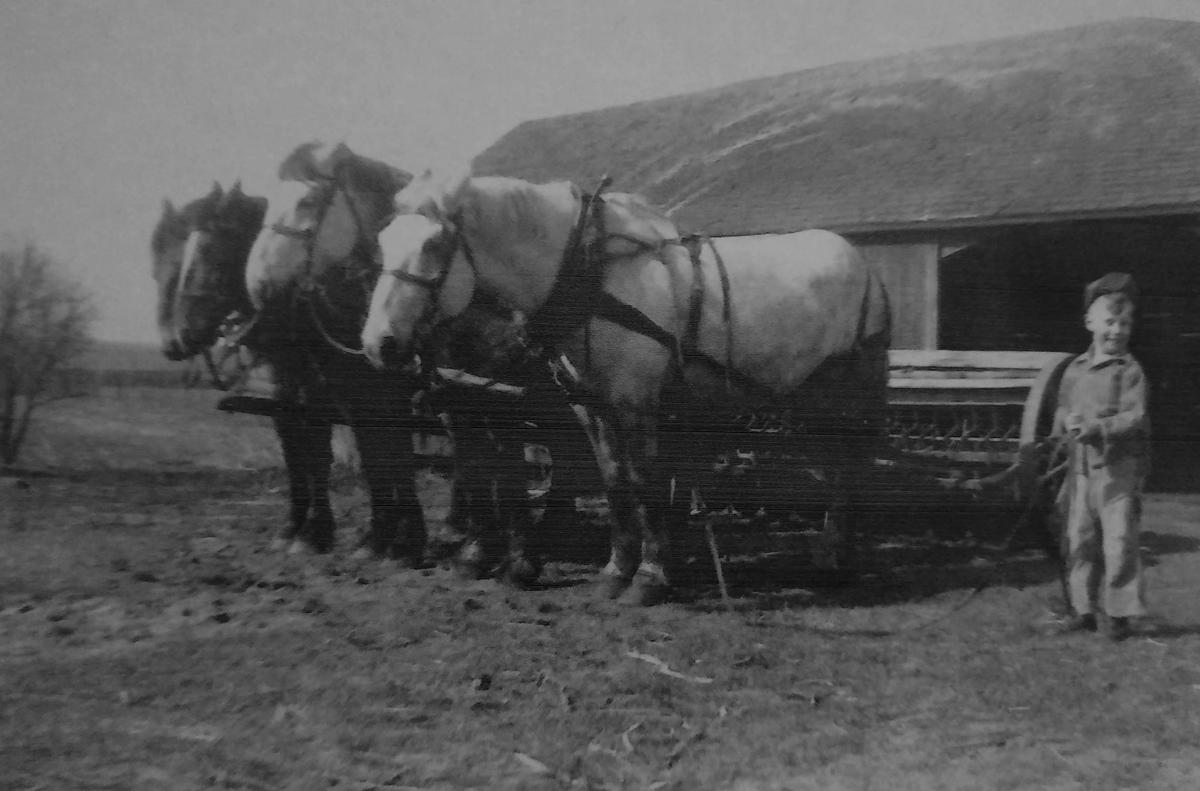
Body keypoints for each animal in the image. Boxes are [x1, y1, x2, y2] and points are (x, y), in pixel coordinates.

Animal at [362, 171, 892, 607]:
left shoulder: (636, 404)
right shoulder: (591, 406)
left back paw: (834, 557)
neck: (593, 274)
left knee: (850, 468)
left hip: (847, 391)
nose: (377, 343)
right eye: (382, 241)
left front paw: (651, 578)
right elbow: (615, 482)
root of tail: (864, 265)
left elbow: (646, 483)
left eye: (434, 244)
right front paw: (616, 571)